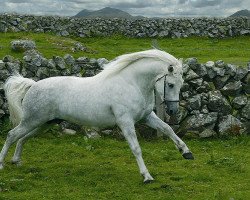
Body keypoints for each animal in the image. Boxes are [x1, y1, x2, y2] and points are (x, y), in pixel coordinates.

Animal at [0, 48, 193, 183]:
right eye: (170, 84)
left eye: (182, 83)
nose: (173, 111)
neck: (132, 83)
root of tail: (33, 85)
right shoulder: (125, 122)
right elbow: (136, 148)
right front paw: (147, 177)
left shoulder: (146, 117)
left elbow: (168, 129)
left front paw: (186, 152)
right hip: (33, 121)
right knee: (12, 135)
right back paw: (2, 164)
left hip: (43, 124)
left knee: (22, 138)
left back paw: (16, 161)